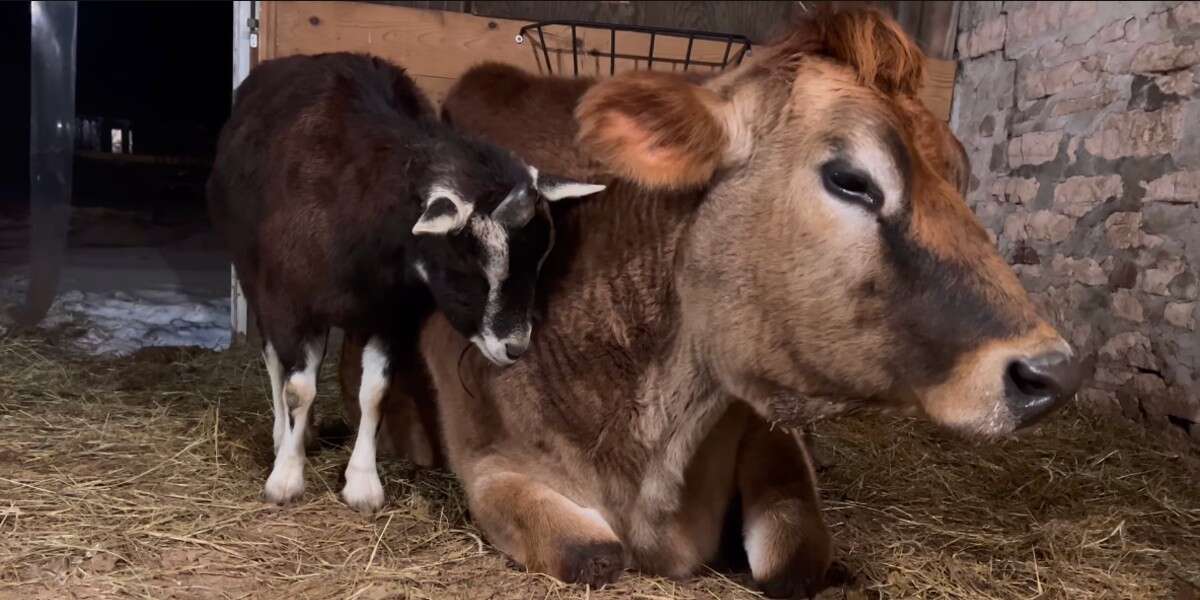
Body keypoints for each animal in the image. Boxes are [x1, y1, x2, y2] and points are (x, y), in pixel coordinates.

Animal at [340, 7, 1089, 597]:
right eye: (851, 178)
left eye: (961, 176)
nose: (1051, 372)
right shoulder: (492, 461)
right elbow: (593, 554)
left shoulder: (767, 424)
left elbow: (795, 557)